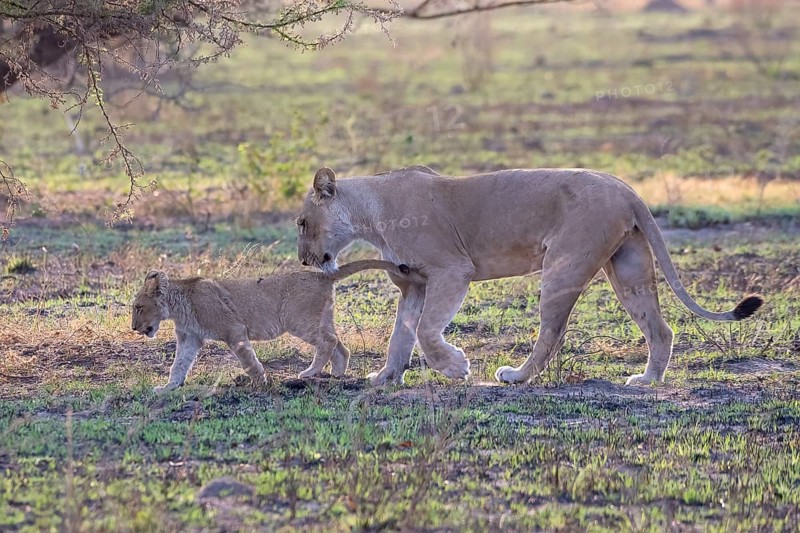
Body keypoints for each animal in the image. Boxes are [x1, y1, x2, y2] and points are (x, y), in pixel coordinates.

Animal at [131, 260, 423, 393]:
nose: (134, 328)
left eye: (138, 307)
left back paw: (309, 373)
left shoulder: (234, 330)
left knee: (327, 342)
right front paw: (168, 388)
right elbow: (178, 365)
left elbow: (248, 360)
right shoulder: (189, 338)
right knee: (340, 345)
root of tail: (321, 275)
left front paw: (260, 381)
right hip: (321, 317)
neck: (180, 305)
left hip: (296, 319)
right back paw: (335, 375)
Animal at [295, 165, 763, 387]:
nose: (302, 261)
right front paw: (385, 378)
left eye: (301, 222)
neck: (370, 212)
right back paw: (648, 380)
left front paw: (456, 367)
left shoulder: (452, 269)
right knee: (660, 328)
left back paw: (516, 376)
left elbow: (427, 331)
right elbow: (402, 335)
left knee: (552, 332)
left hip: (564, 264)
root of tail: (627, 188)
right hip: (628, 266)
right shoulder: (414, 282)